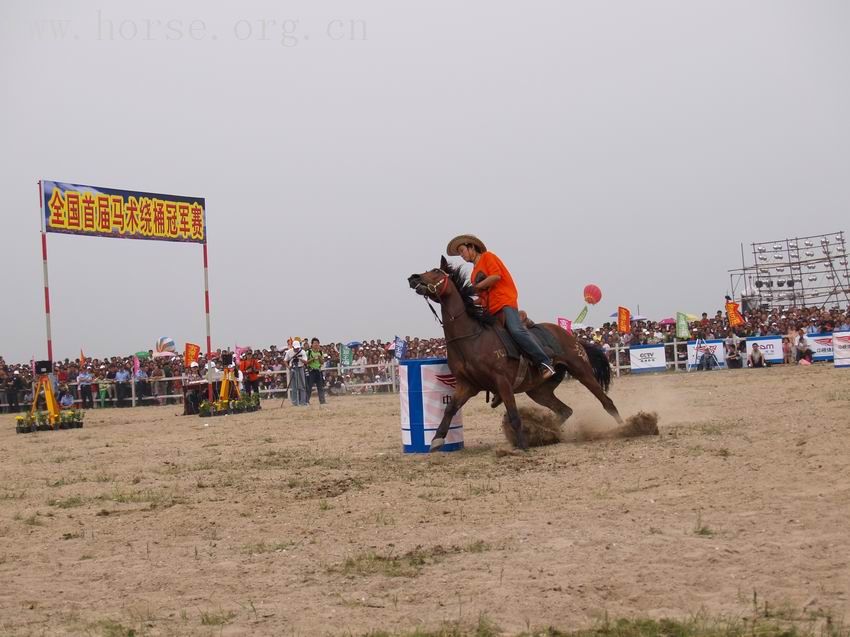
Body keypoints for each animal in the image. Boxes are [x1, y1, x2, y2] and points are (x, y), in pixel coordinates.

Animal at [410, 256, 624, 450]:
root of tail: (571, 337)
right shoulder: (467, 385)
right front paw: (436, 440)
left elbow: (513, 414)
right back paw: (548, 432)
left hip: (582, 370)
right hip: (539, 390)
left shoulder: (502, 381)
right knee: (565, 411)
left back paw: (624, 427)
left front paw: (522, 445)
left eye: (436, 271)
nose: (413, 277)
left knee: (606, 402)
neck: (472, 338)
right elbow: (449, 409)